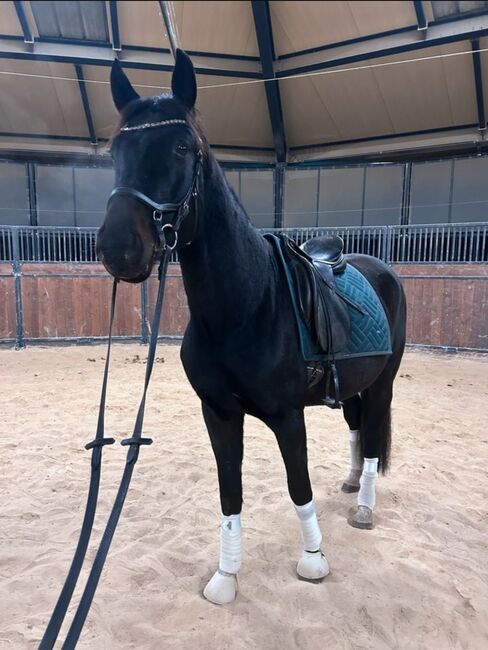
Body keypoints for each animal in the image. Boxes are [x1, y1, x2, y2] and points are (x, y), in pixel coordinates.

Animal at [97, 50, 406, 605]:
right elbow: (229, 493)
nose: (118, 248)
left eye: (181, 146)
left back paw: (364, 507)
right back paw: (352, 484)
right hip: (355, 386)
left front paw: (313, 561)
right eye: (116, 150)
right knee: (356, 430)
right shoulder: (218, 414)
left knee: (372, 439)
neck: (243, 310)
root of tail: (382, 270)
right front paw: (226, 576)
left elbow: (299, 487)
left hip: (383, 385)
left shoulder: (287, 416)